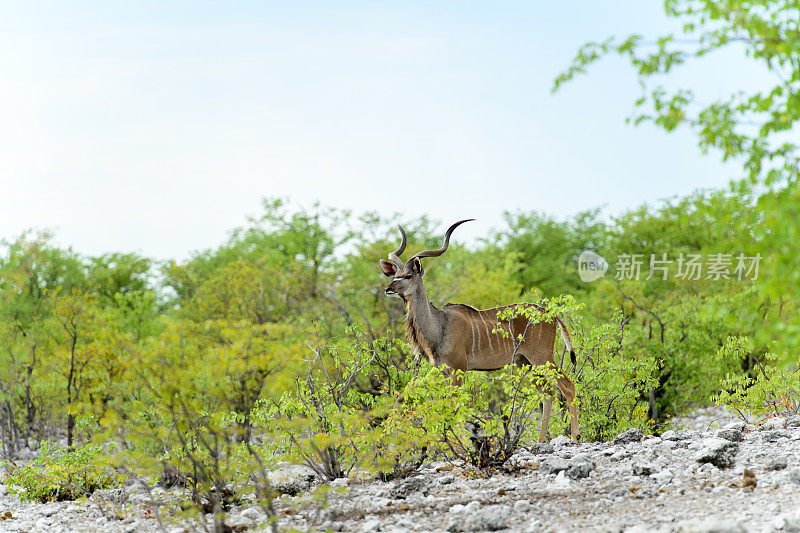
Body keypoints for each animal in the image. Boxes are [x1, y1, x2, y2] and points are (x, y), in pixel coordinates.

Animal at [378, 218, 580, 442]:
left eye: (407, 275)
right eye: (394, 274)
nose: (388, 289)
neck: (440, 325)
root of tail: (551, 314)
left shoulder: (458, 370)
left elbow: (453, 409)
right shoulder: (442, 372)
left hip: (542, 358)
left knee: (568, 386)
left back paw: (574, 437)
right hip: (525, 363)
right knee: (547, 393)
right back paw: (540, 440)